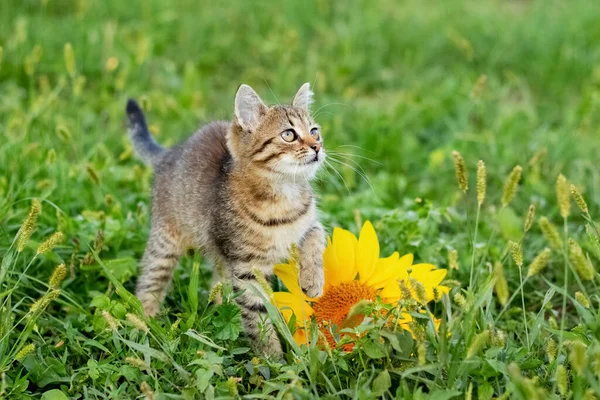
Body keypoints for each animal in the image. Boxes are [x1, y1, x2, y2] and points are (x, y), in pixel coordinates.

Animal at [123, 83, 326, 354]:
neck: (284, 194)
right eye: (289, 135)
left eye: (315, 131)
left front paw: (313, 279)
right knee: (148, 283)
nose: (317, 147)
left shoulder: (307, 224)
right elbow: (257, 318)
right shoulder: (247, 268)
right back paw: (145, 327)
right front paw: (273, 359)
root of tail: (171, 154)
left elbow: (316, 236)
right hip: (165, 244)